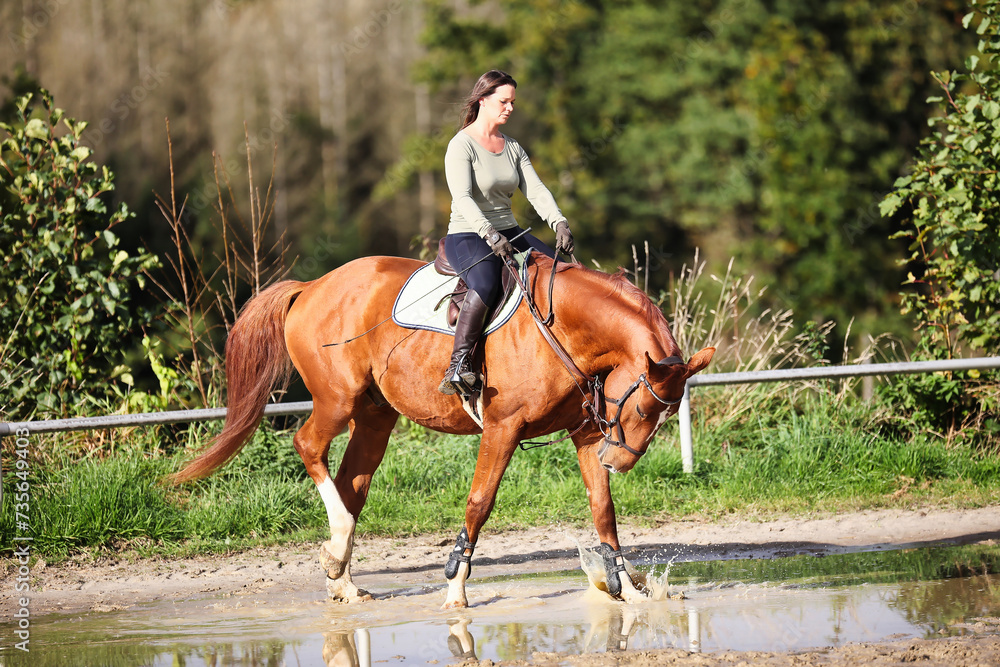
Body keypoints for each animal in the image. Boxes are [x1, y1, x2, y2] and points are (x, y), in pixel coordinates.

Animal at [171, 252, 714, 607]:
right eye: (643, 409)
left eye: (665, 416)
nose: (616, 461)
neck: (565, 325)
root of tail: (312, 287)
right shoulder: (502, 428)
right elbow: (480, 502)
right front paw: (455, 586)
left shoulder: (585, 434)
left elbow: (603, 508)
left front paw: (627, 585)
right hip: (336, 400)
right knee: (308, 446)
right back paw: (340, 547)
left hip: (375, 417)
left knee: (351, 483)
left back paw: (341, 575)